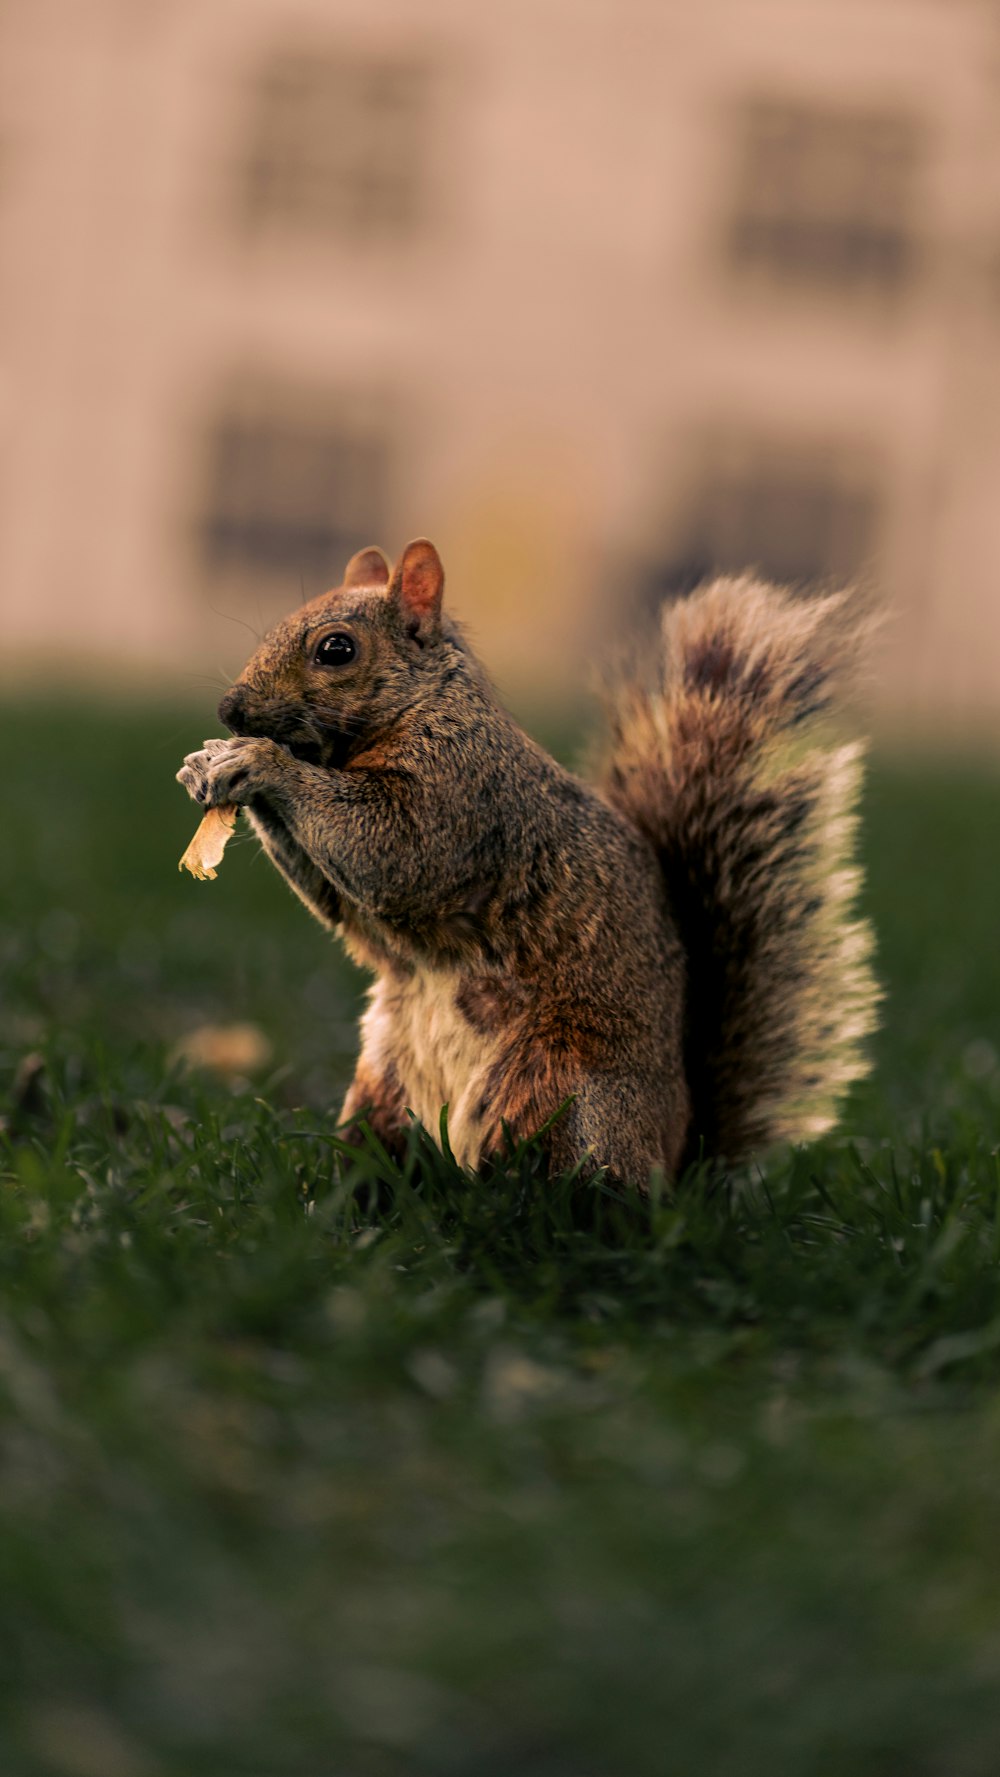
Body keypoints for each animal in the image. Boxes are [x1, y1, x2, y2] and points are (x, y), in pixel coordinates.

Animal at [175, 533, 880, 1187]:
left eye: (337, 649)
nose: (231, 710)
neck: (421, 707)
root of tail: (680, 1157)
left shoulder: (457, 796)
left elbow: (386, 850)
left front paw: (261, 763)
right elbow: (339, 897)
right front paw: (207, 765)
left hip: (567, 1091)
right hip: (382, 1089)